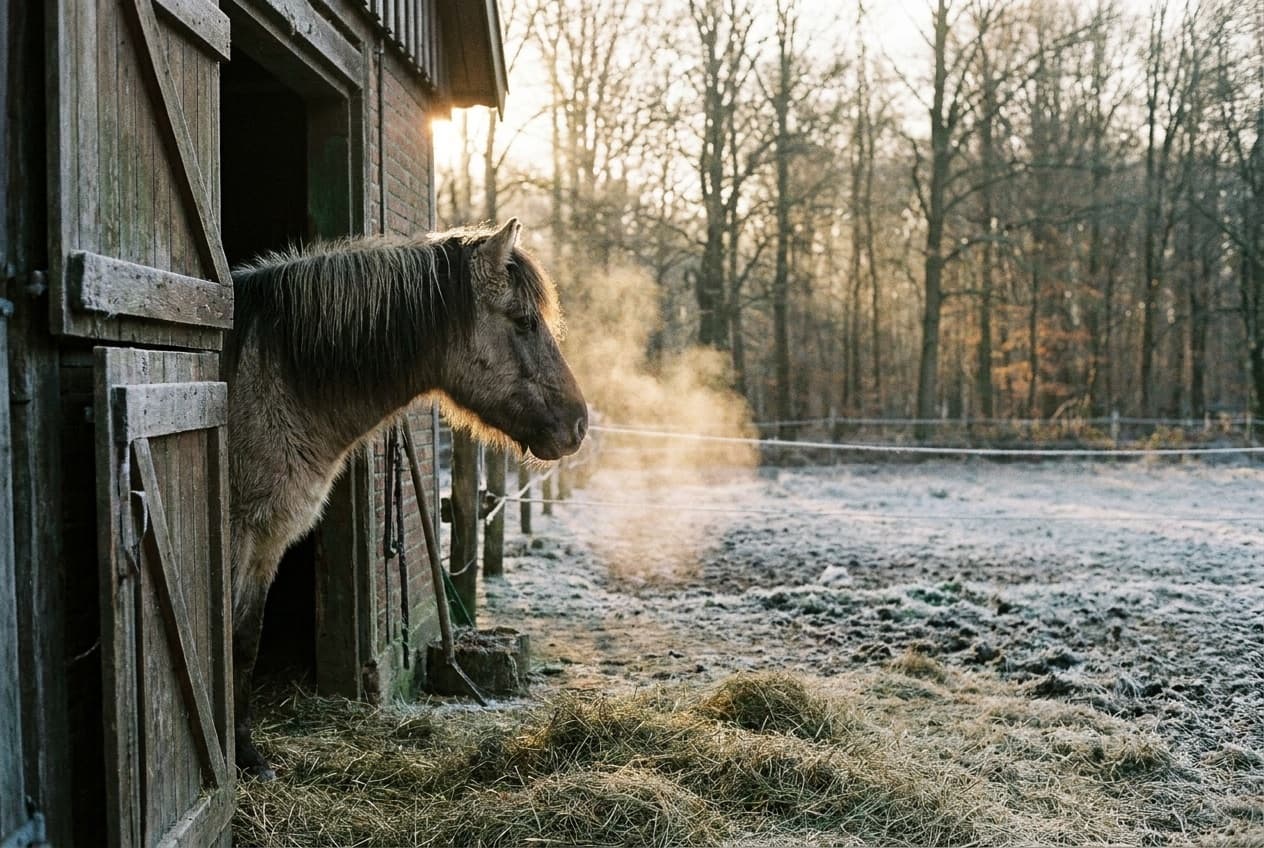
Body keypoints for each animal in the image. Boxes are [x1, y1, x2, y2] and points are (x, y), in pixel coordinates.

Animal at [225, 218, 588, 780]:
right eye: (525, 322)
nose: (579, 424)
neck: (270, 376)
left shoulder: (267, 543)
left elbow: (246, 641)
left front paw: (247, 755)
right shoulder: (238, 536)